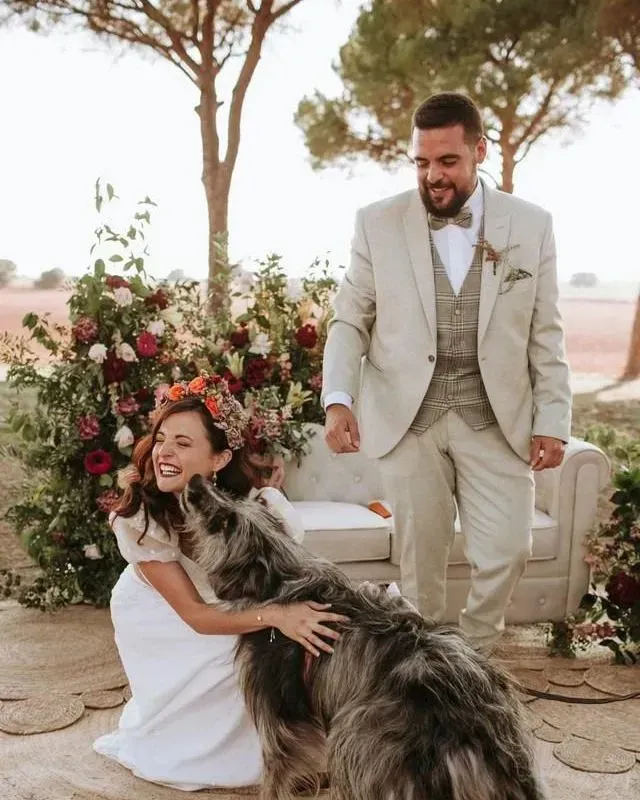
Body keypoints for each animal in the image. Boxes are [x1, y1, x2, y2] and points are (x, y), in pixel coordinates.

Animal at [180, 476, 544, 800]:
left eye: (225, 521)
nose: (196, 480)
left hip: (361, 740)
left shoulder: (279, 713)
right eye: (230, 496)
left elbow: (275, 773)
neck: (279, 579)